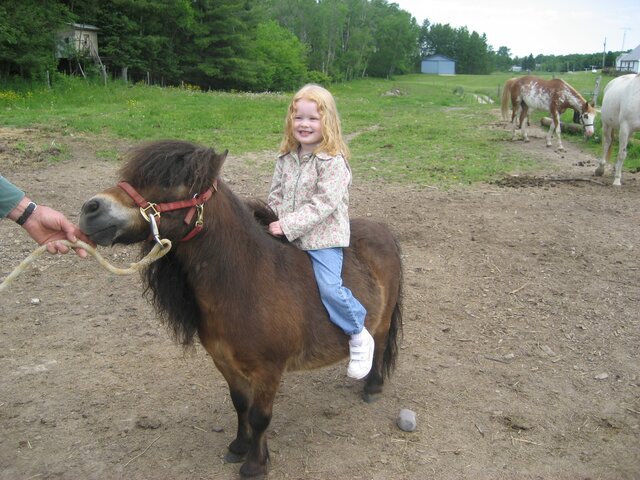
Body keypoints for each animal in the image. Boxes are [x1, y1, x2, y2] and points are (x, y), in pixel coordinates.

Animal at [78, 140, 403, 479]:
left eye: (171, 183)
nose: (91, 209)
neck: (246, 284)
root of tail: (382, 230)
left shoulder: (269, 371)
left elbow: (260, 416)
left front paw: (255, 464)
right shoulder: (225, 362)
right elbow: (240, 405)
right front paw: (238, 446)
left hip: (381, 322)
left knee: (380, 344)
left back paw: (372, 385)